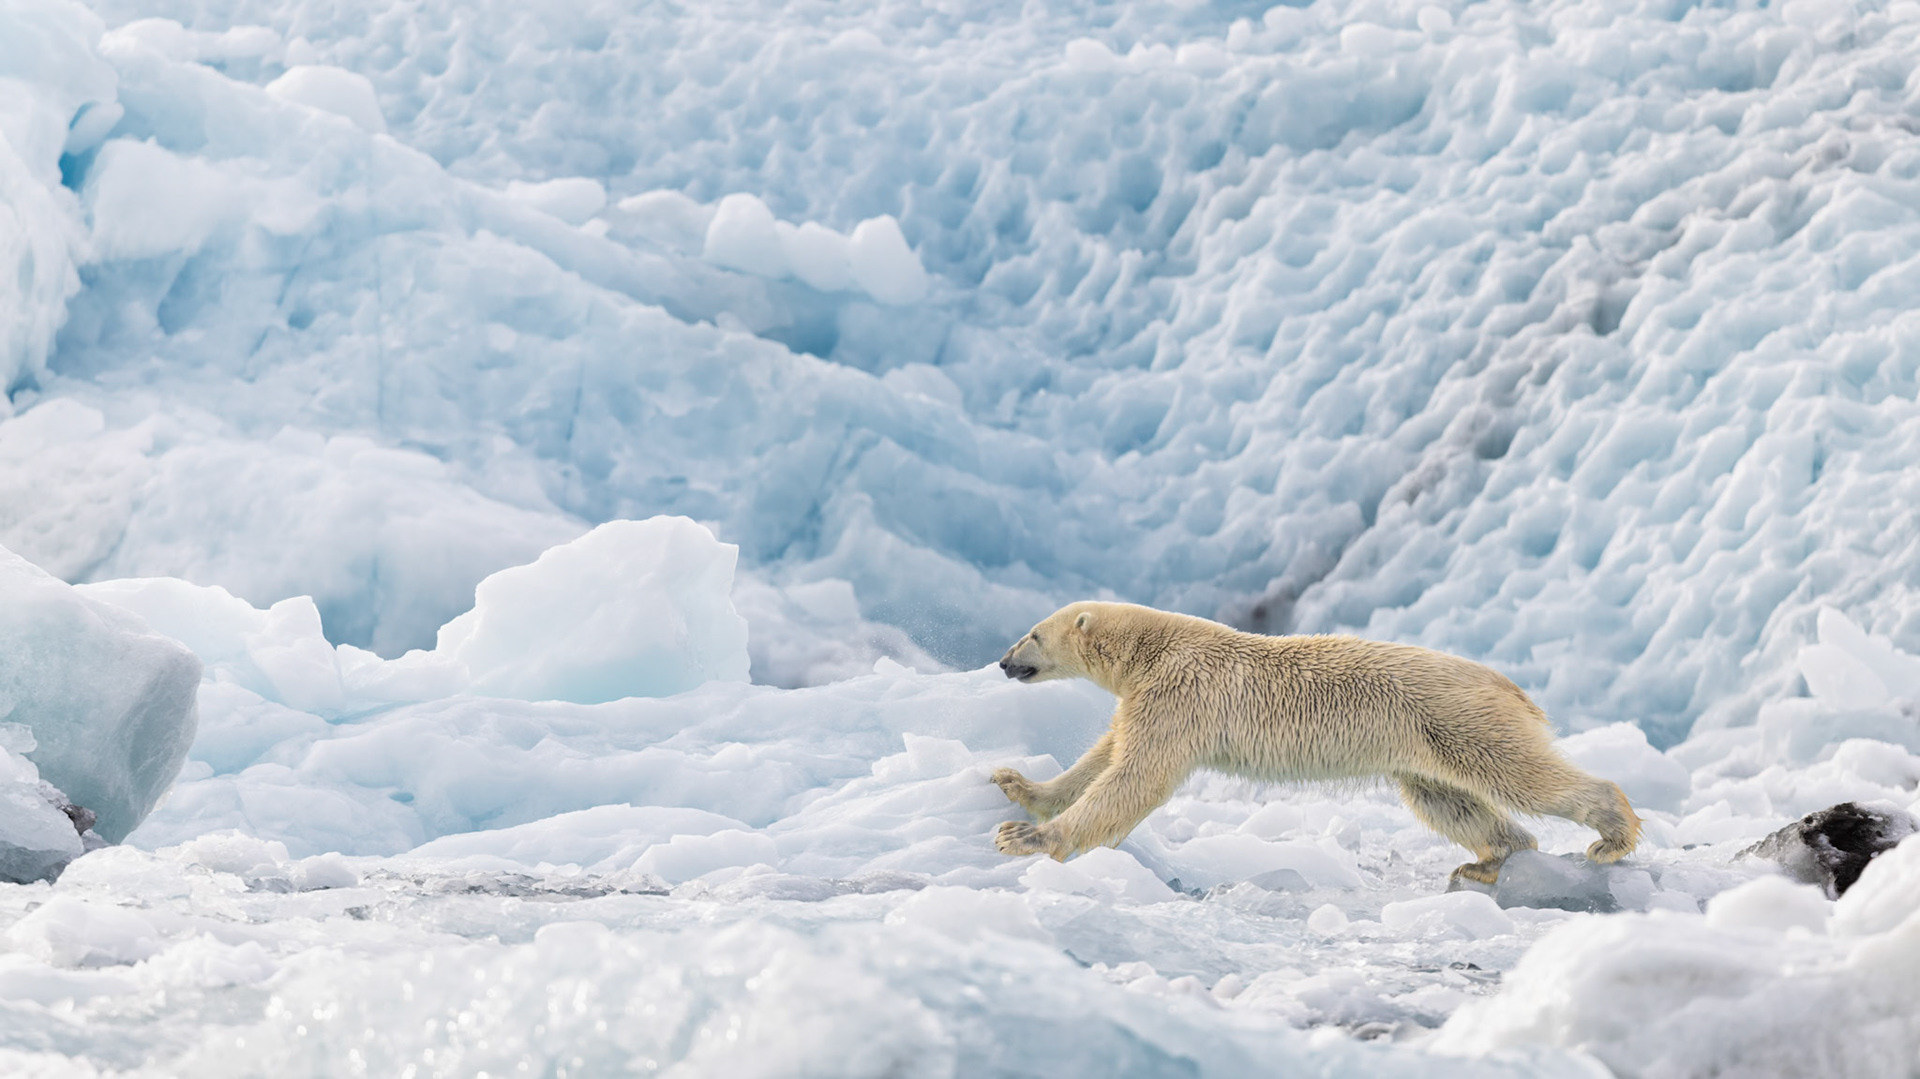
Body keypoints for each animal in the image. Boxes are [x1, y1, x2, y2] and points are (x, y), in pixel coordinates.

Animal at [989, 601, 1640, 885]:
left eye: (1032, 633)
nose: (1002, 661)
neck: (1155, 646)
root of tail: (1509, 684)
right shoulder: (1150, 697)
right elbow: (1106, 755)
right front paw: (1017, 784)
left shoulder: (1182, 691)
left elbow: (1135, 777)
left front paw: (1023, 838)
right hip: (1422, 741)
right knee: (1444, 798)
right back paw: (1488, 861)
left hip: (1456, 717)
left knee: (1517, 772)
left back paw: (1611, 837)